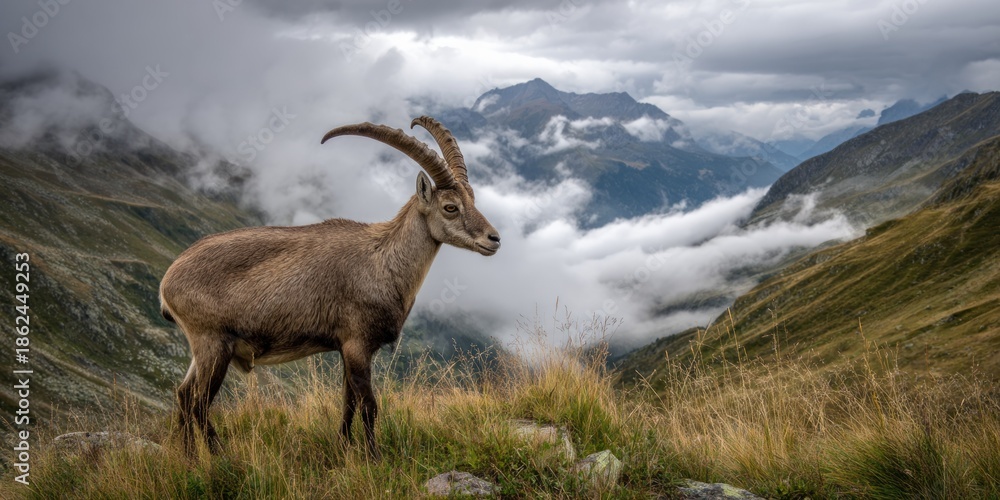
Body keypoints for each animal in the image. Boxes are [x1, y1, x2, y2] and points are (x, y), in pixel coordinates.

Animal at [159, 116, 501, 458]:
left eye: (472, 200)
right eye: (450, 207)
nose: (494, 239)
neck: (383, 261)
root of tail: (167, 280)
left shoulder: (348, 347)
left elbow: (348, 404)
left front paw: (343, 449)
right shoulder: (356, 343)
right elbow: (368, 405)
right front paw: (374, 458)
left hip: (203, 347)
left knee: (184, 395)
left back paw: (190, 457)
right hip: (213, 343)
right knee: (200, 402)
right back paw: (220, 456)